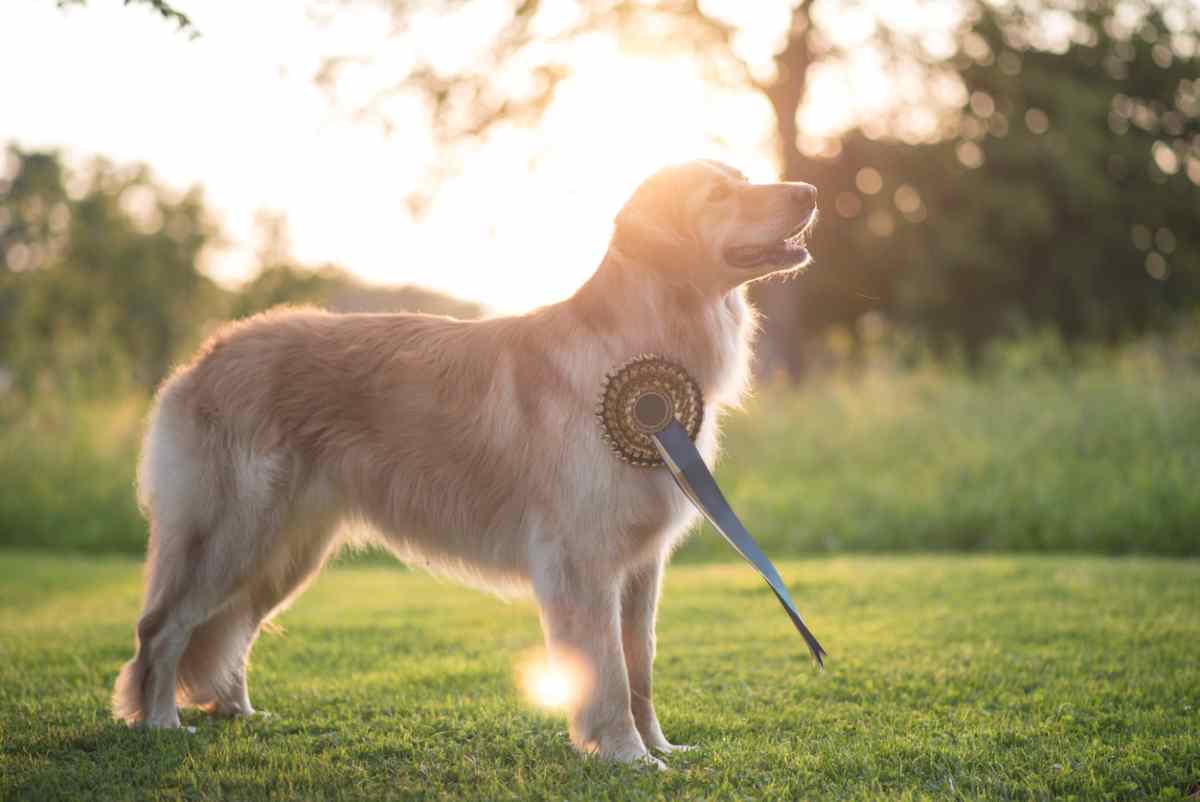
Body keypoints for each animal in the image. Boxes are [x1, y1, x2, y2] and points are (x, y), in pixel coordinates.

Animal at [112, 159, 820, 768]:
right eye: (720, 195)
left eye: (744, 177)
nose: (810, 191)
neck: (640, 350)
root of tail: (206, 355)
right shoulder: (581, 558)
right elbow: (609, 674)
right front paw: (626, 755)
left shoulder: (641, 565)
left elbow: (640, 664)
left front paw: (660, 747)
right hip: (235, 532)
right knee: (163, 627)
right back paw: (159, 722)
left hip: (285, 549)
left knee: (230, 629)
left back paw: (237, 711)